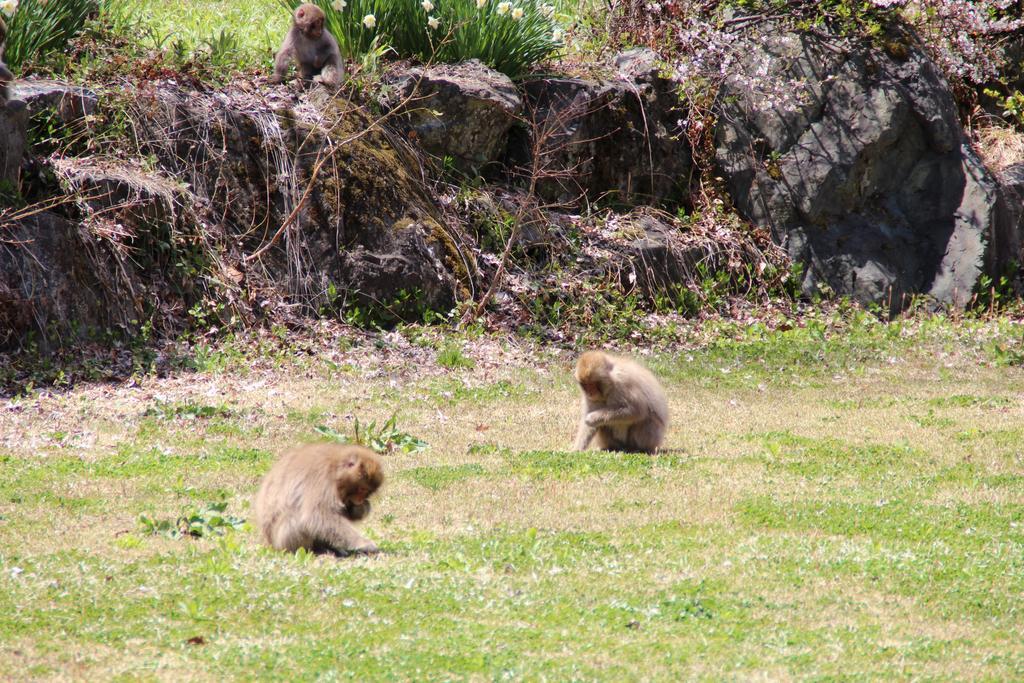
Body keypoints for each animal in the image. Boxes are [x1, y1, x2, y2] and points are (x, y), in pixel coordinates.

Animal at [254, 444, 385, 557]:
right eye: (362, 489)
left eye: (368, 492)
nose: (360, 499)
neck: (335, 469)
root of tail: (268, 543)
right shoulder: (321, 480)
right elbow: (319, 515)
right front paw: (363, 543)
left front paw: (361, 508)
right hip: (280, 541)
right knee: (294, 518)